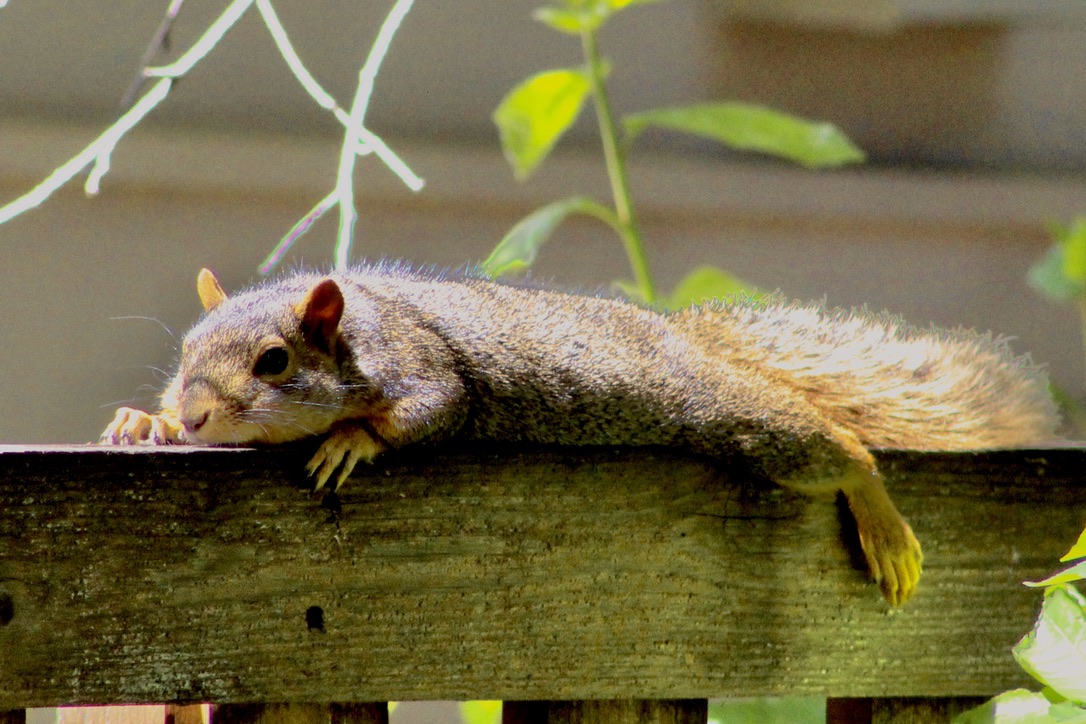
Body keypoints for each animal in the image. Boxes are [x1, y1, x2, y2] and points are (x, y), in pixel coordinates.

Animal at [100, 264, 1059, 606]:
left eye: (273, 362)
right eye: (184, 354)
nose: (196, 413)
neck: (366, 327)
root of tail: (683, 339)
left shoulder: (421, 364)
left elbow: (430, 410)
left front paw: (354, 439)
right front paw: (145, 421)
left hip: (739, 422)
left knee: (838, 450)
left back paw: (883, 522)